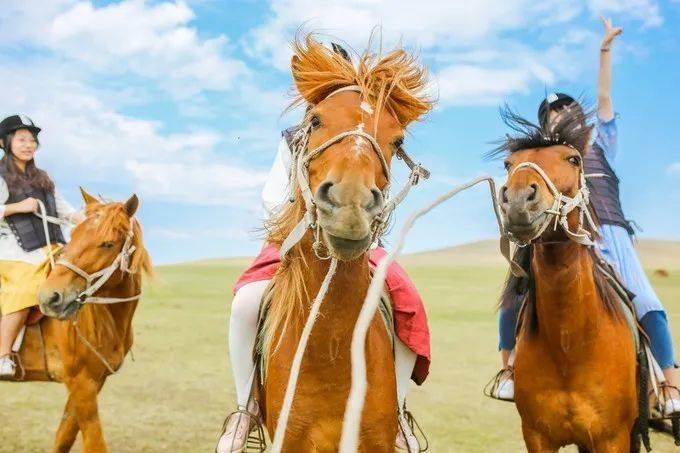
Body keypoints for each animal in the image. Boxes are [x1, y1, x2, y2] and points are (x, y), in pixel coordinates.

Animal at [3, 188, 151, 453]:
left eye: (108, 244)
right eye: (74, 235)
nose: (49, 297)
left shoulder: (91, 382)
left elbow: (64, 436)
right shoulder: (81, 382)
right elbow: (94, 443)